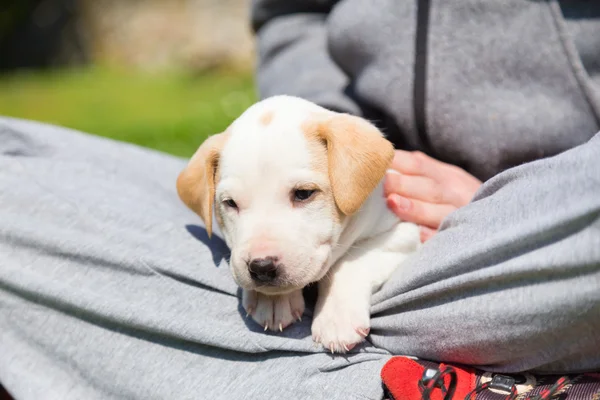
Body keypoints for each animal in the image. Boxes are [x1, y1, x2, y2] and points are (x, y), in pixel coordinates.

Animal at [178, 96, 420, 354]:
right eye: (230, 203)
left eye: (303, 193)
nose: (262, 267)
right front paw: (272, 300)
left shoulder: (401, 233)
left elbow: (350, 262)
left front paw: (336, 318)